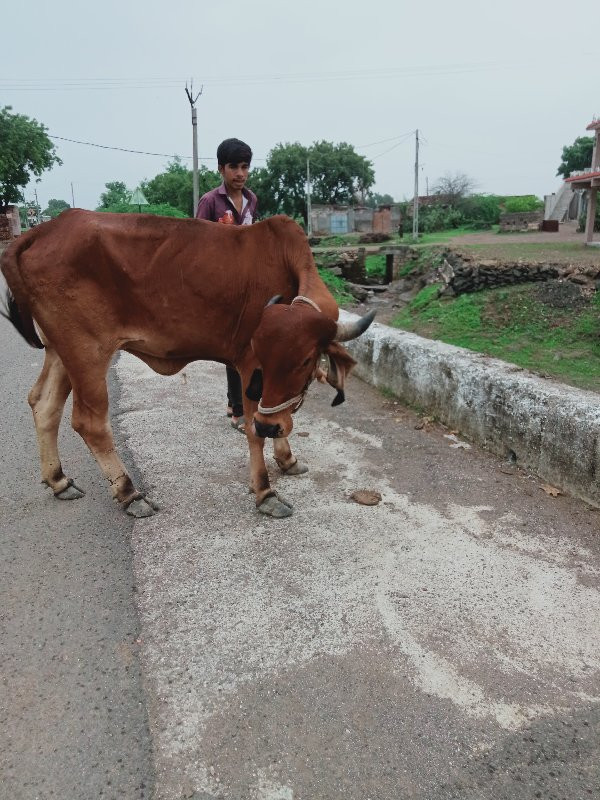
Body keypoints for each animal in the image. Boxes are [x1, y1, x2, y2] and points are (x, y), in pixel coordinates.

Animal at [1, 209, 376, 520]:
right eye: (262, 353)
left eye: (305, 359)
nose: (271, 426)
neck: (287, 263)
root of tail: (40, 231)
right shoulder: (247, 364)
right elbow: (252, 430)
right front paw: (265, 491)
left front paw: (287, 458)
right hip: (87, 351)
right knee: (89, 422)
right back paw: (129, 493)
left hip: (59, 350)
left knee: (44, 404)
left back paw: (59, 480)